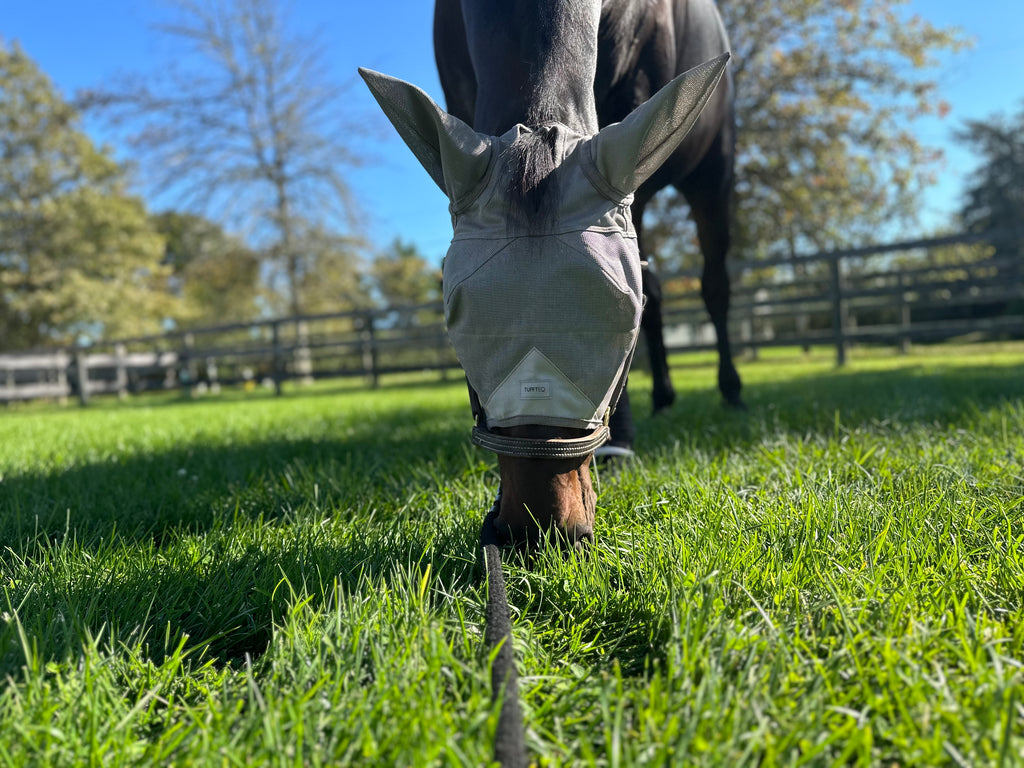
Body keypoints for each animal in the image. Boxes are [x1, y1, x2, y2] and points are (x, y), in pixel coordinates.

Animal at [434, 0, 745, 456]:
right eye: (458, 322)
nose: (542, 455)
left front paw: (620, 439)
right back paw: (663, 398)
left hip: (711, 175)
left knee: (715, 287)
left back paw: (731, 390)